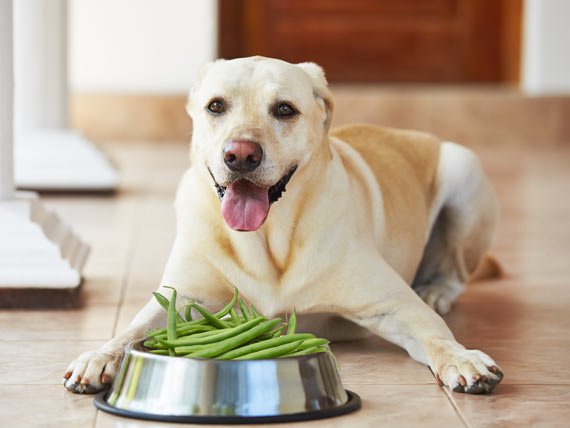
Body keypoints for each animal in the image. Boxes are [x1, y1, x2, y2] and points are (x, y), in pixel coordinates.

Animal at [64, 56, 502, 394]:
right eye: (216, 106)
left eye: (285, 109)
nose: (241, 155)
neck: (267, 240)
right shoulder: (180, 299)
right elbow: (130, 330)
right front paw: (100, 356)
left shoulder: (394, 304)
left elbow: (436, 335)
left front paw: (463, 358)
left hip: (464, 169)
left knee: (455, 273)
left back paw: (437, 290)